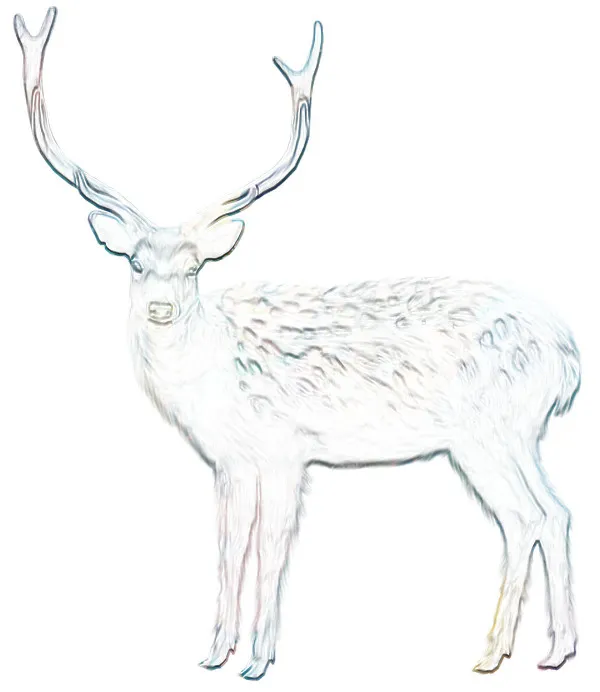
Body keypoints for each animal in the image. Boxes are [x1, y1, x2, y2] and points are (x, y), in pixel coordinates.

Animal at [15, 6, 580, 681]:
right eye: (135, 263)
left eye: (194, 268)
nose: (160, 308)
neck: (209, 384)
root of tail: (569, 359)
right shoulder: (229, 460)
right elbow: (230, 547)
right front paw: (214, 654)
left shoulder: (286, 449)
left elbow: (272, 549)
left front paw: (259, 659)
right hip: (515, 435)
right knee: (548, 513)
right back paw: (539, 650)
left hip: (489, 431)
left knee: (532, 515)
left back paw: (510, 651)